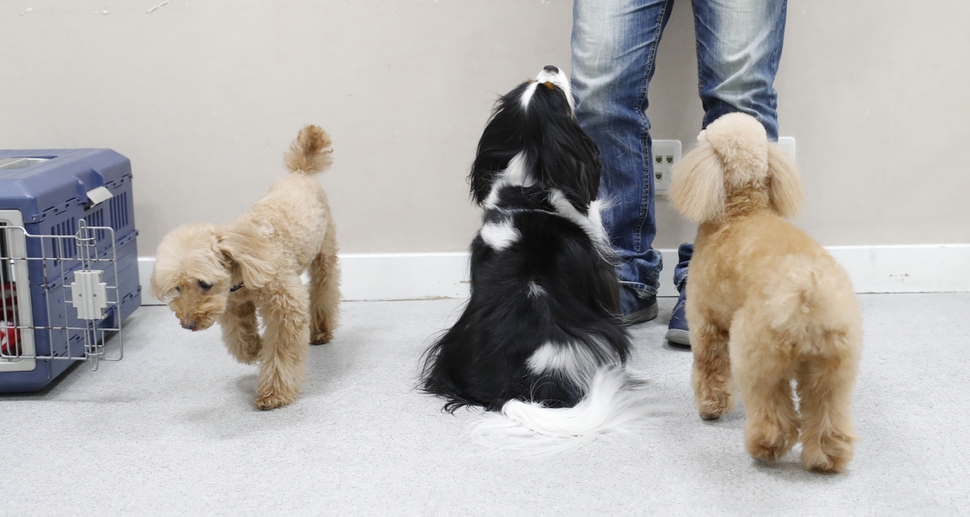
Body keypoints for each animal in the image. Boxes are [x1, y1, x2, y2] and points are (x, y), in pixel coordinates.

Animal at [422, 65, 656, 452]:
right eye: (553, 89)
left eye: (532, 83)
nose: (549, 67)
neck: (528, 188)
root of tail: (510, 391)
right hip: (599, 339)